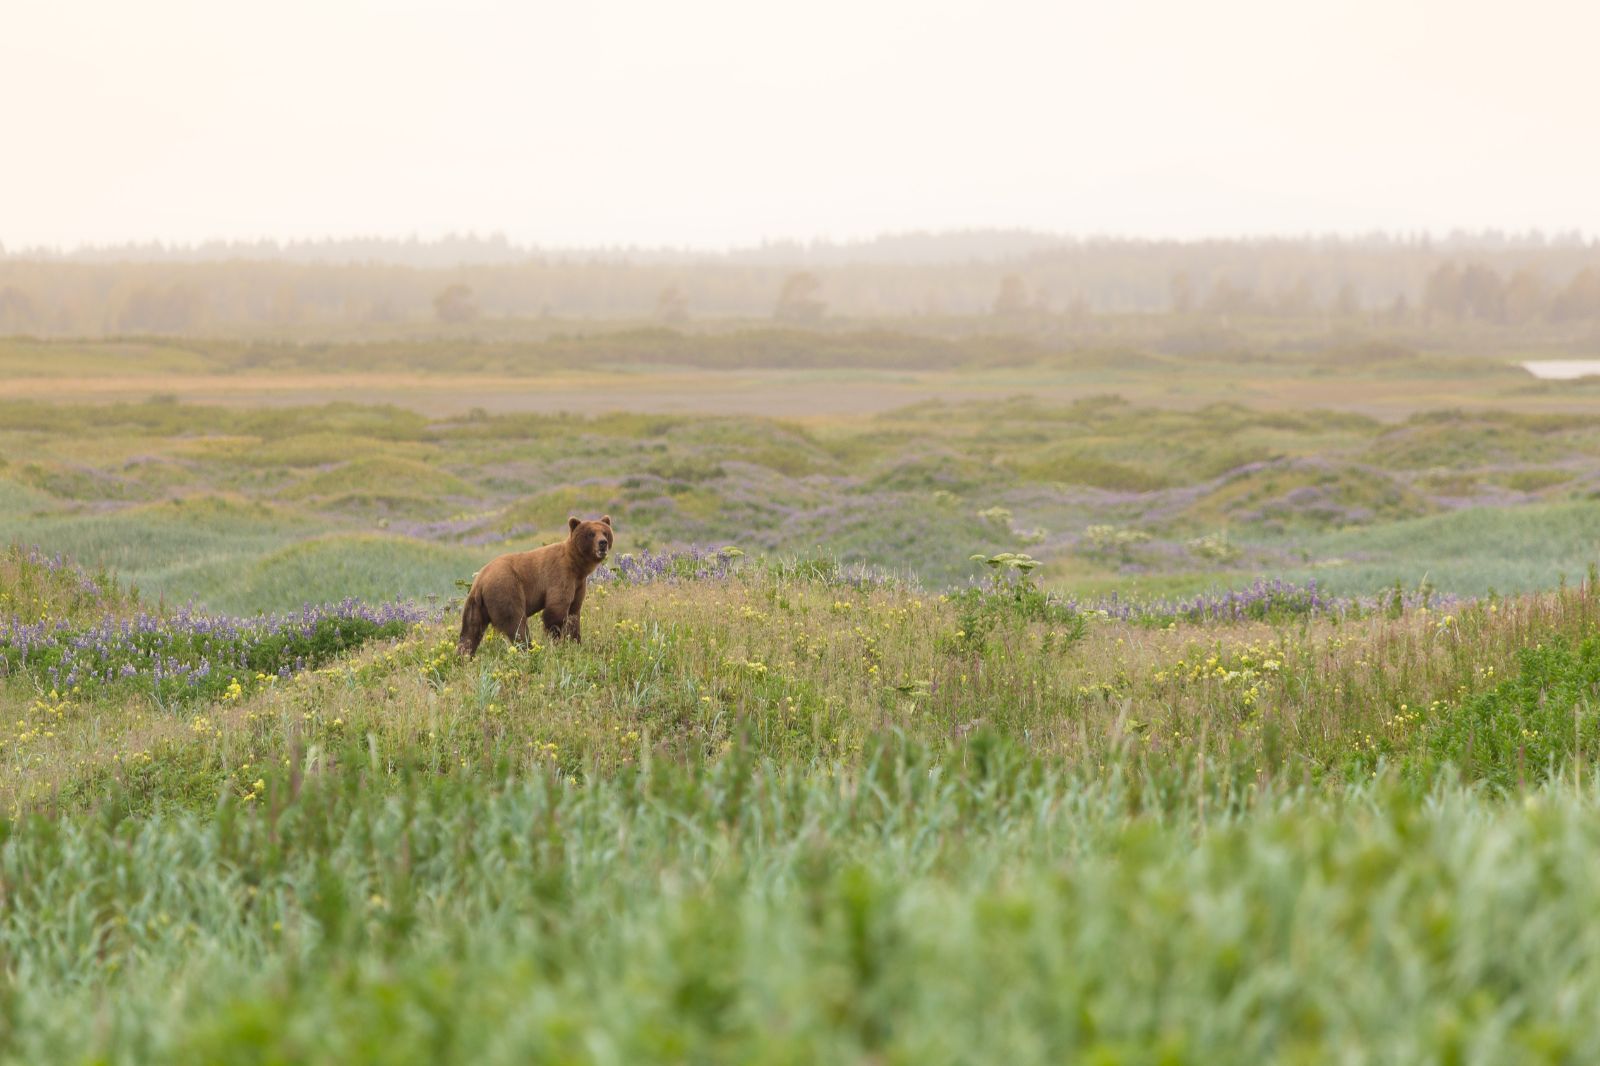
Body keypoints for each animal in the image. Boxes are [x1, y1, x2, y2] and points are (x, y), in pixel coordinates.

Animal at [457, 515, 613, 656]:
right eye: (591, 533)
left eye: (605, 532)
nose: (603, 543)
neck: (576, 566)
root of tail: (480, 581)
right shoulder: (560, 576)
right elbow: (556, 611)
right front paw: (556, 643)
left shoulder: (578, 584)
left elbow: (574, 613)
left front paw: (576, 643)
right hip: (506, 589)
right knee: (516, 624)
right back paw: (530, 650)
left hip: (475, 605)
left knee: (470, 631)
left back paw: (464, 657)